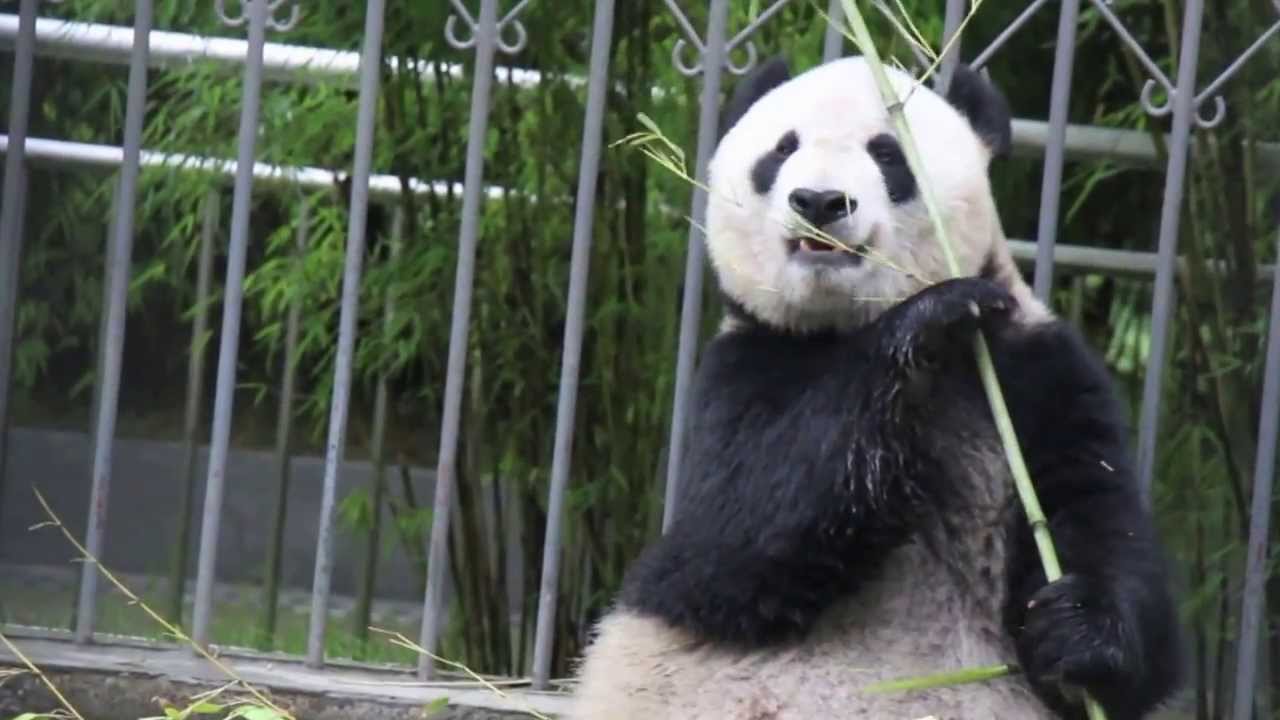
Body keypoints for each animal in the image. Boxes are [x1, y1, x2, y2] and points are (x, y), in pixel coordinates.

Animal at [567, 56, 1184, 719]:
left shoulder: (1036, 370)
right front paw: (928, 316)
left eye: (888, 153)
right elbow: (731, 545)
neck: (843, 323)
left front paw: (1076, 628)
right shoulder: (742, 368)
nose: (819, 200)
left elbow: (1099, 519)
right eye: (782, 150)